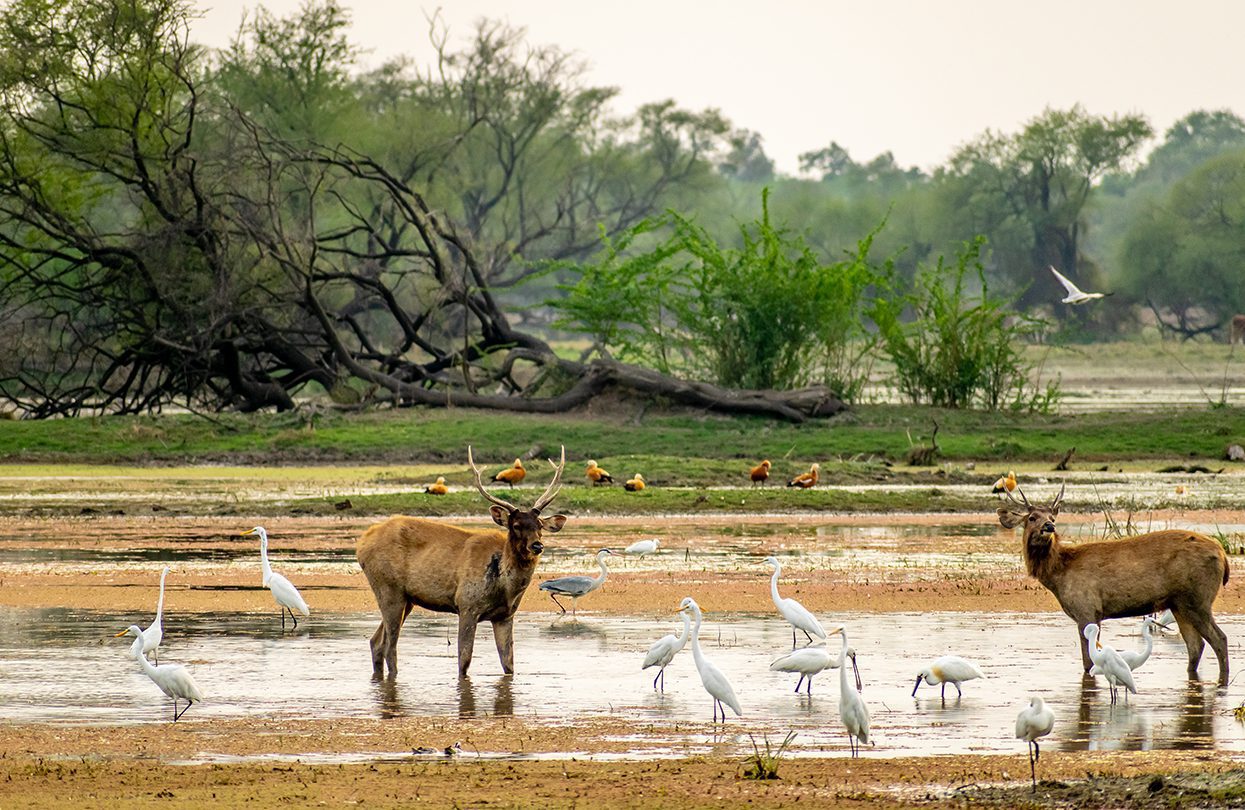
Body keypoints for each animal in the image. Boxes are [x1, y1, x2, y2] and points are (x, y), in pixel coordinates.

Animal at [356, 447, 570, 681]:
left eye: (539, 525)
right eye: (516, 525)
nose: (537, 545)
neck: (504, 588)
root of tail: (362, 543)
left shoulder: (505, 616)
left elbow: (509, 665)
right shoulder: (467, 605)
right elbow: (464, 661)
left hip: (407, 599)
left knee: (376, 642)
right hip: (388, 588)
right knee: (389, 647)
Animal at [996, 487, 1230, 686]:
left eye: (1052, 518)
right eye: (1032, 518)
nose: (1049, 527)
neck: (1058, 573)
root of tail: (1222, 554)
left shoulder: (1087, 608)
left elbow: (1088, 662)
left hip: (1198, 598)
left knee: (1219, 638)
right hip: (1179, 604)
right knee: (1196, 645)